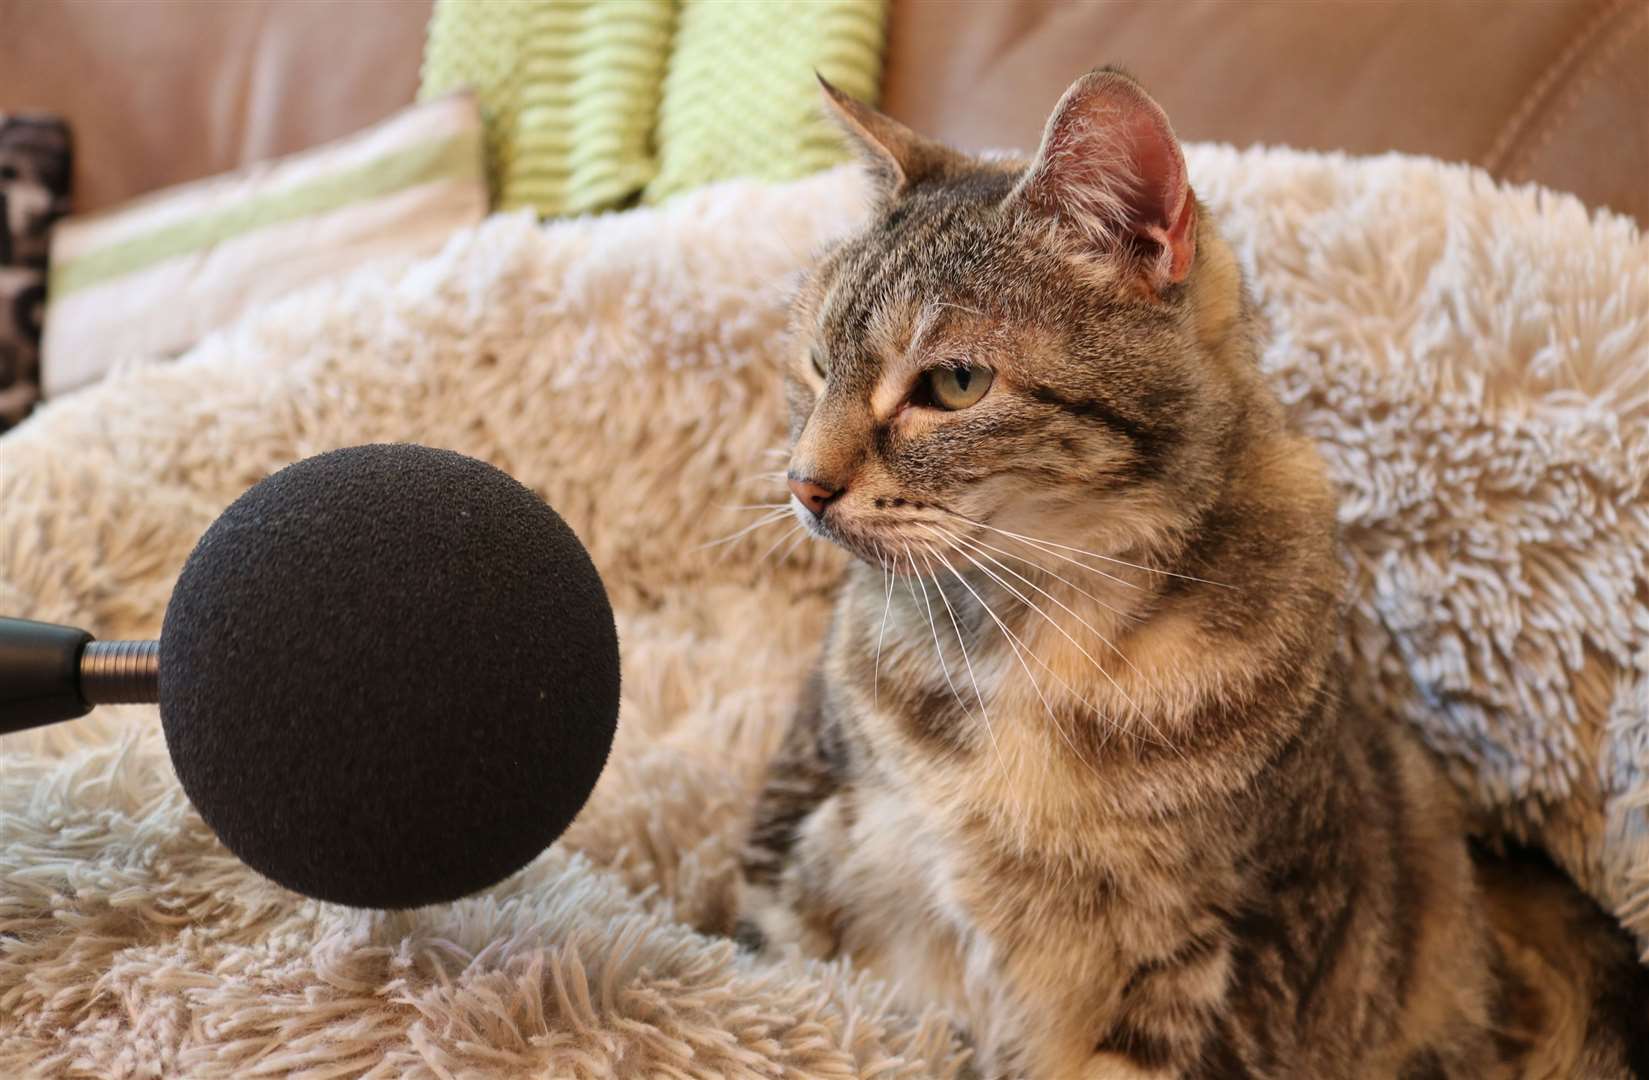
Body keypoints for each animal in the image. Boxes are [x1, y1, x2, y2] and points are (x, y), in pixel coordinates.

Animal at [738, 71, 1649, 1075]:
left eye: (955, 384)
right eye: (816, 365)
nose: (803, 485)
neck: (1038, 632)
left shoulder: (1235, 943)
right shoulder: (800, 835)